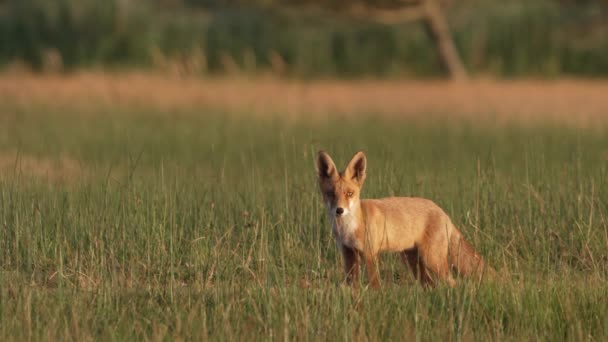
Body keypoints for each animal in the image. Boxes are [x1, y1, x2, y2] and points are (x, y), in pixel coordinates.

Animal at [316, 151, 486, 288]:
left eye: (349, 193)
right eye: (330, 194)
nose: (339, 210)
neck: (349, 229)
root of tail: (443, 212)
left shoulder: (370, 254)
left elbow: (375, 285)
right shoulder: (348, 254)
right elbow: (352, 285)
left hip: (432, 259)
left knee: (452, 283)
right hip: (412, 261)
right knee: (429, 284)